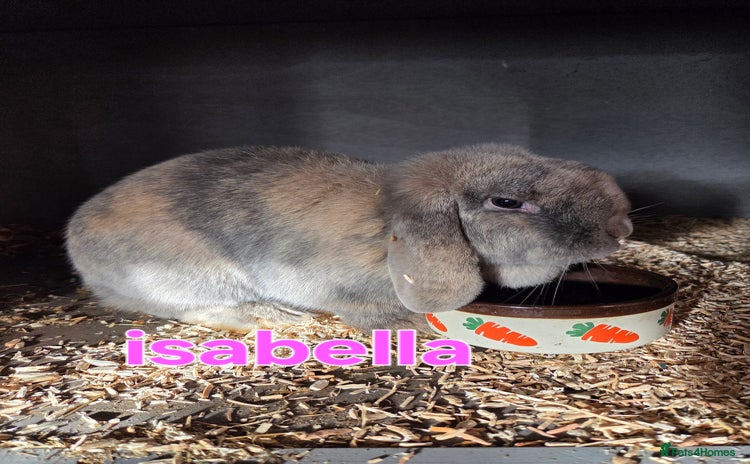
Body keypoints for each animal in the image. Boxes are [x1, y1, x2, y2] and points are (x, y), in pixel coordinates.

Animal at [65, 143, 633, 333]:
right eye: (508, 203)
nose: (622, 227)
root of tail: (76, 236)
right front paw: (414, 325)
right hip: (187, 278)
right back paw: (277, 318)